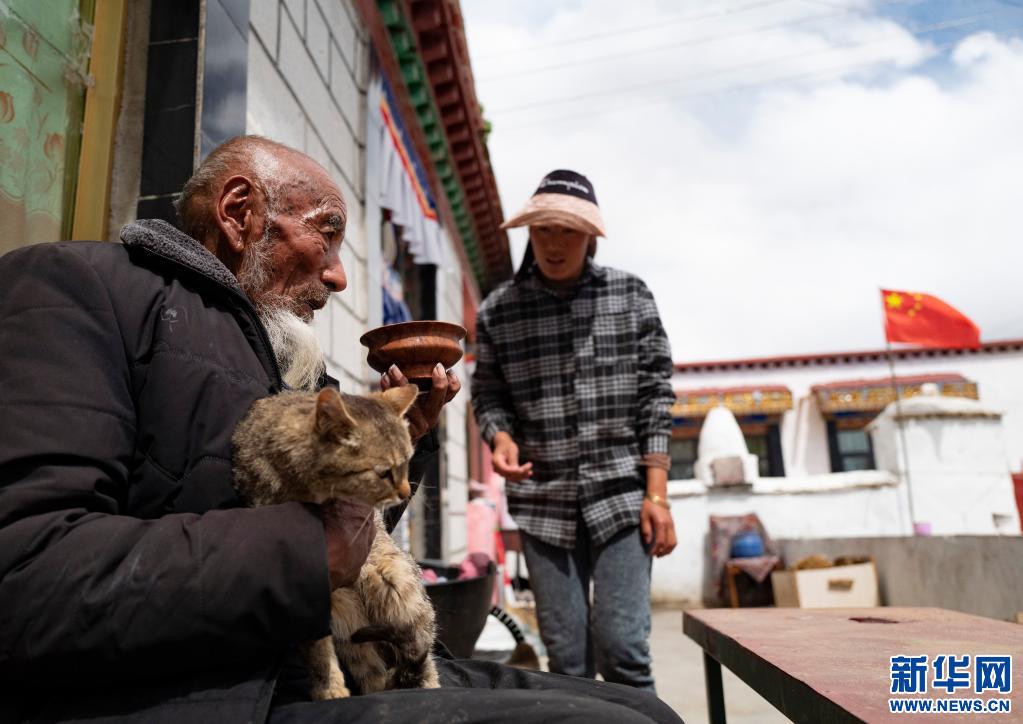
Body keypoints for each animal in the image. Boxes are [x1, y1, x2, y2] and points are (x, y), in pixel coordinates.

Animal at [231, 385, 440, 699]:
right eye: (383, 472)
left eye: (406, 464)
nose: (405, 492)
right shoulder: (311, 594)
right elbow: (317, 651)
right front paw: (330, 690)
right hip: (347, 623)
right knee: (373, 673)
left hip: (399, 588)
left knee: (422, 658)